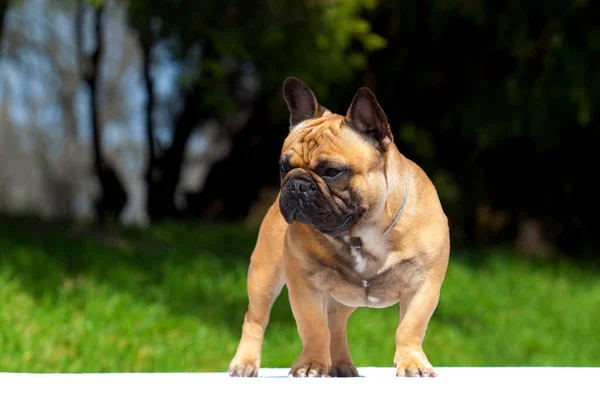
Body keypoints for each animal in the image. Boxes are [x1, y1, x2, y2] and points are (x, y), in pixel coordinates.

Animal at [227, 77, 448, 378]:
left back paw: (341, 365)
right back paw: (246, 362)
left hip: (343, 298)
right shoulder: (305, 286)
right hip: (264, 277)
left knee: (336, 324)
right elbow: (314, 328)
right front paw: (311, 364)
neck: (361, 234)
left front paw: (412, 363)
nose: (296, 184)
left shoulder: (423, 286)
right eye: (283, 167)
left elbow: (410, 328)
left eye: (332, 171)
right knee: (256, 319)